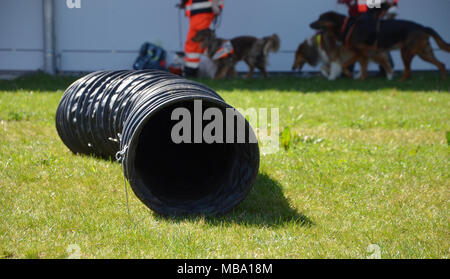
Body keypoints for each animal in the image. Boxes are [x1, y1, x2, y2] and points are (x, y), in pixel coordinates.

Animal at [310, 11, 450, 80]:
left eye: (321, 18)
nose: (309, 24)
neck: (346, 26)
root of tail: (422, 27)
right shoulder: (363, 54)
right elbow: (357, 67)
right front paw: (359, 78)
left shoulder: (363, 53)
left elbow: (348, 65)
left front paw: (354, 77)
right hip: (423, 52)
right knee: (441, 65)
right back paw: (443, 80)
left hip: (407, 52)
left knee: (408, 70)